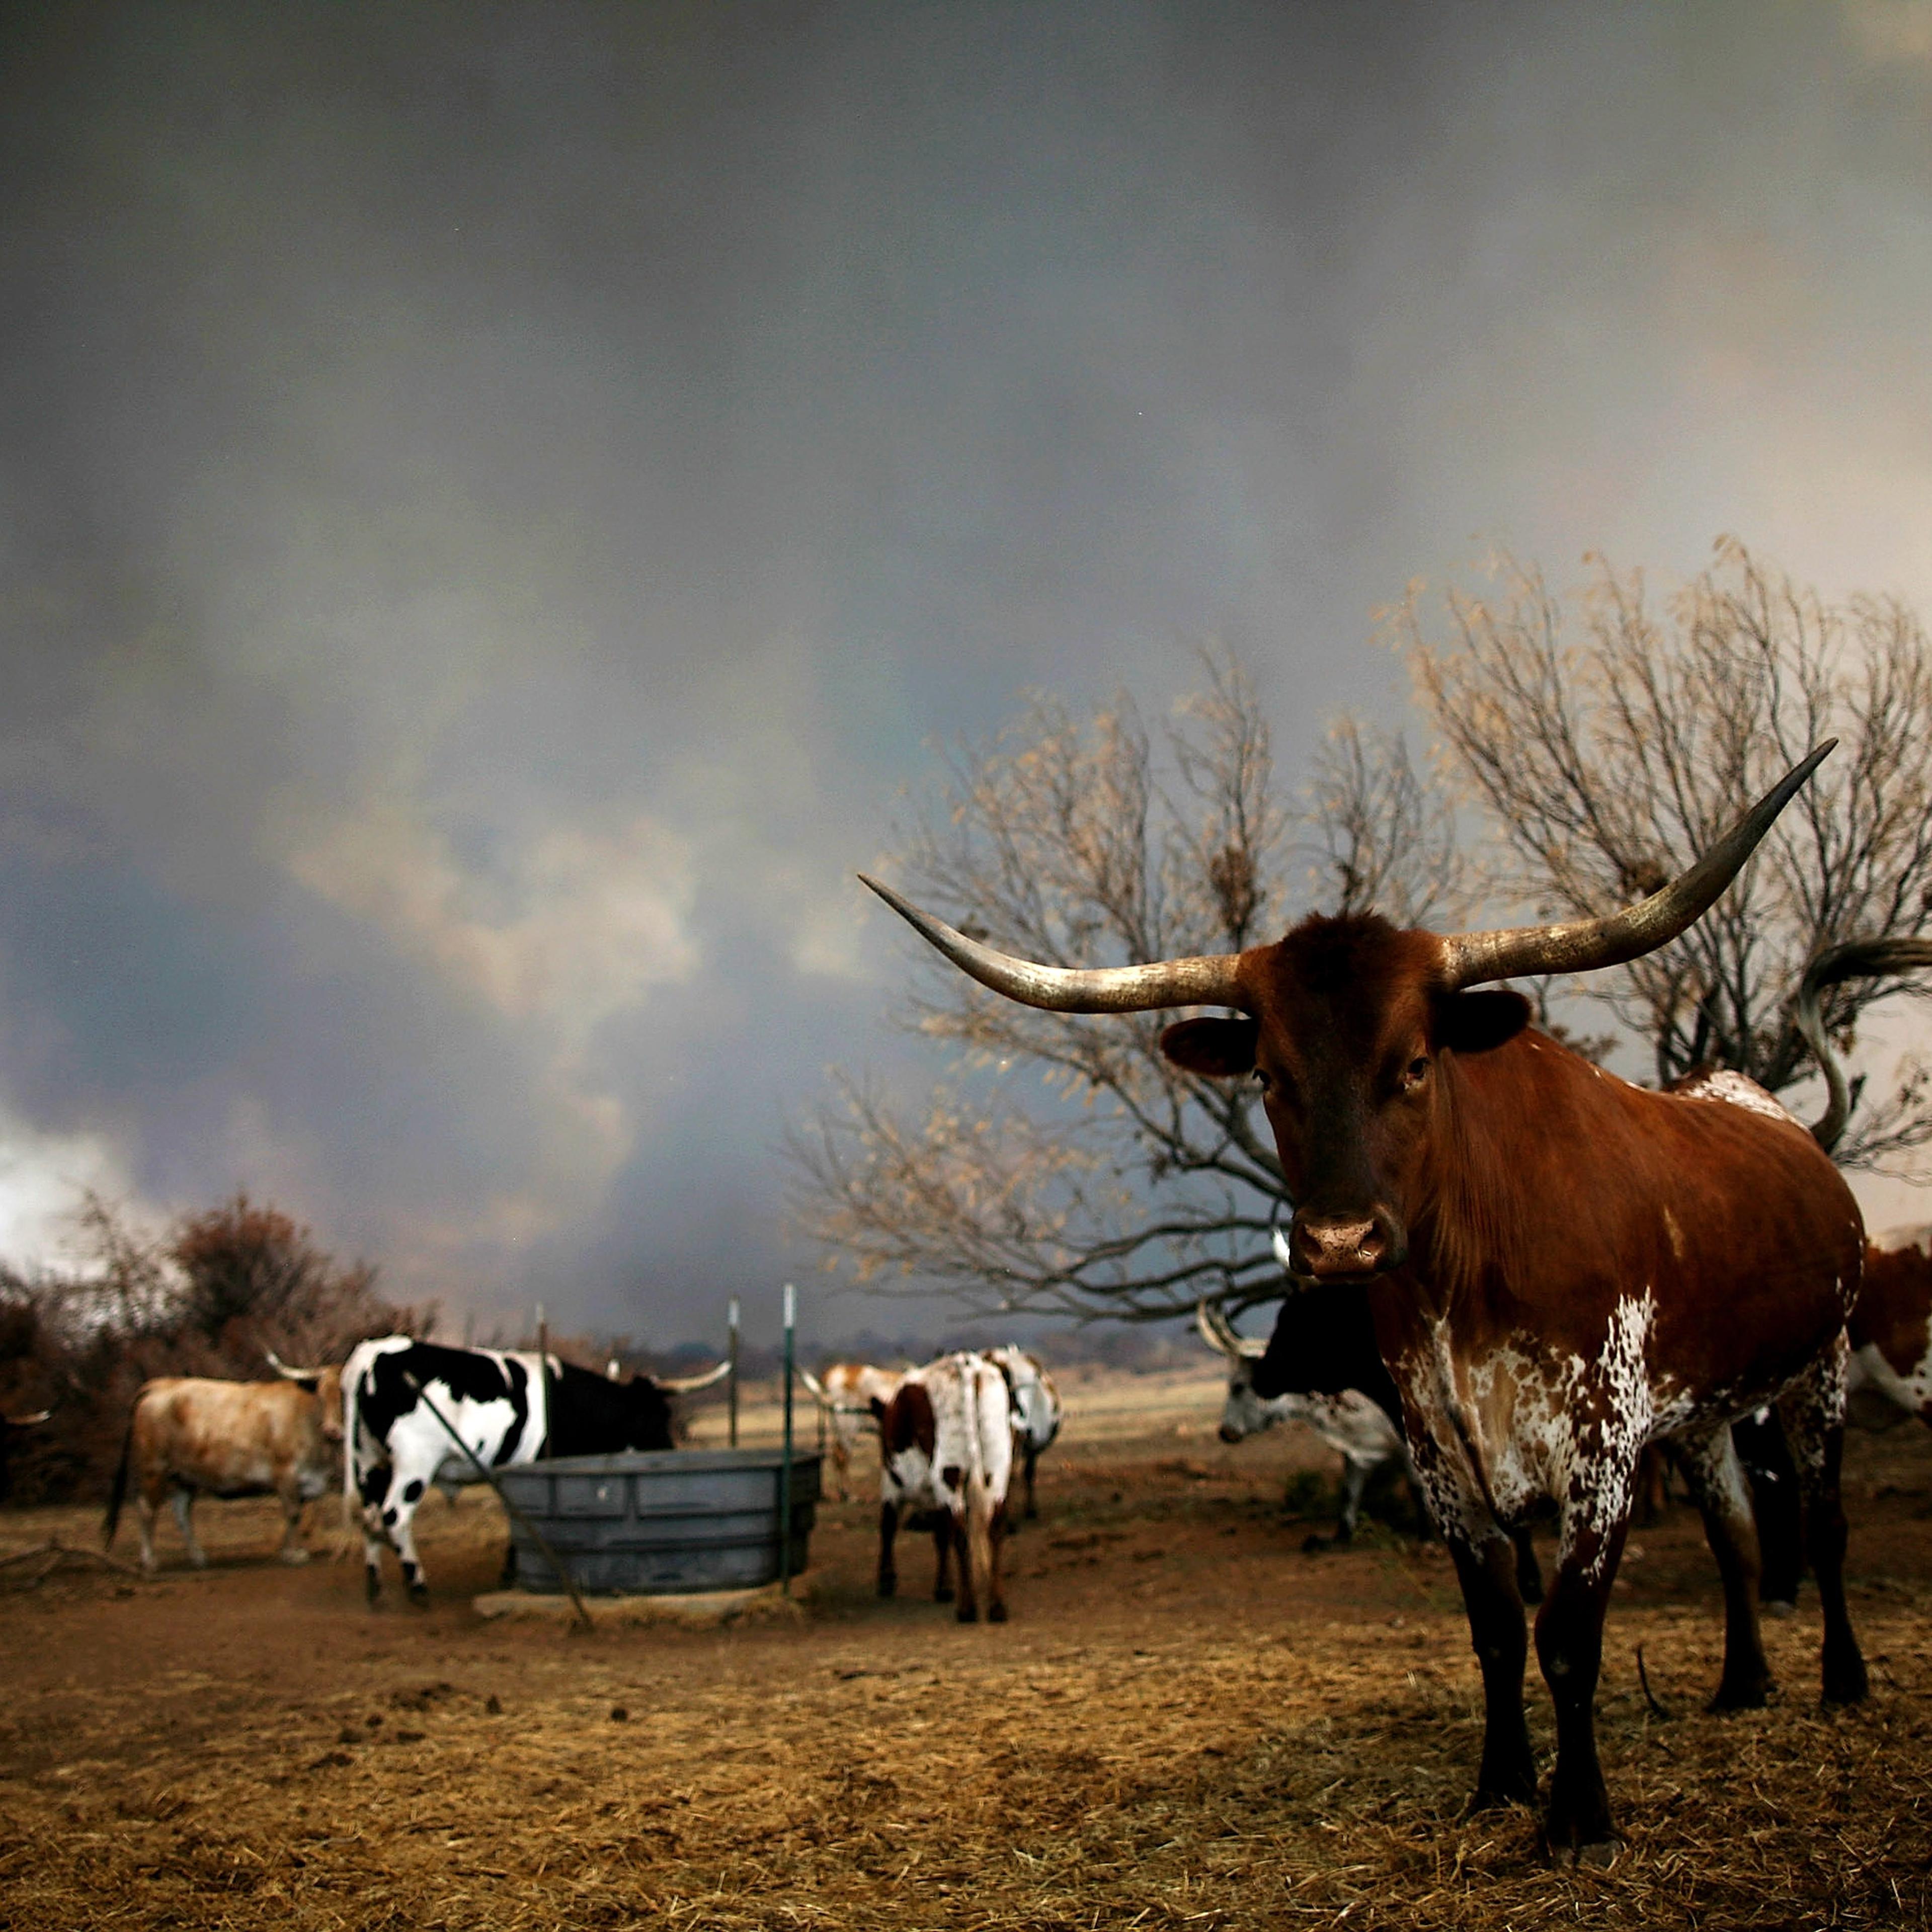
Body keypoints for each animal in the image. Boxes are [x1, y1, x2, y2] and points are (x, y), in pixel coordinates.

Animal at [103, 1370, 344, 1573]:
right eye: (323, 1395)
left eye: (345, 1394)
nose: (333, 1430)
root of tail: (161, 1384)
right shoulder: (286, 1474)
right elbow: (293, 1514)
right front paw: (292, 1554)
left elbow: (298, 1516)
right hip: (154, 1468)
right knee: (147, 1510)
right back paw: (150, 1561)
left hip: (184, 1476)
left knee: (181, 1513)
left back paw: (198, 1557)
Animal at [345, 1335, 727, 1604]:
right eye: (658, 1417)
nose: (671, 1451)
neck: (568, 1402)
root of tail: (372, 1353)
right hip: (414, 1463)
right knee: (393, 1517)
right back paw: (418, 1588)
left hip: (369, 1462)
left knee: (370, 1518)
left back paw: (375, 1590)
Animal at [872, 1350, 1013, 1623]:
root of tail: (966, 1363)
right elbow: (940, 1533)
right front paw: (944, 1585)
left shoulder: (891, 1484)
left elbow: (889, 1524)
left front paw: (886, 1579)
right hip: (997, 1466)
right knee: (994, 1529)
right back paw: (997, 1606)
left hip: (948, 1471)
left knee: (960, 1533)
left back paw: (967, 1609)